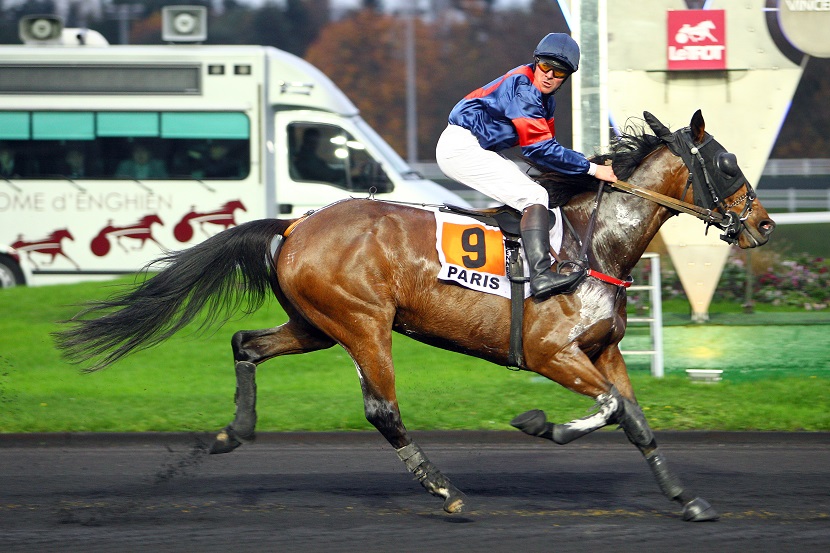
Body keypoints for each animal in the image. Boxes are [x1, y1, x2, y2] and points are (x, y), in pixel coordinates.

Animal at [58, 111, 780, 520]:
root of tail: (294, 226)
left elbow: (635, 419)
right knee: (382, 409)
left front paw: (687, 500)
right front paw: (537, 422)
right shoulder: (552, 353)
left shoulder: (603, 350)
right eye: (726, 164)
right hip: (362, 323)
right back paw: (445, 490)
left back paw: (234, 430)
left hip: (317, 325)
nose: (764, 224)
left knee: (246, 342)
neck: (592, 244)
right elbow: (607, 409)